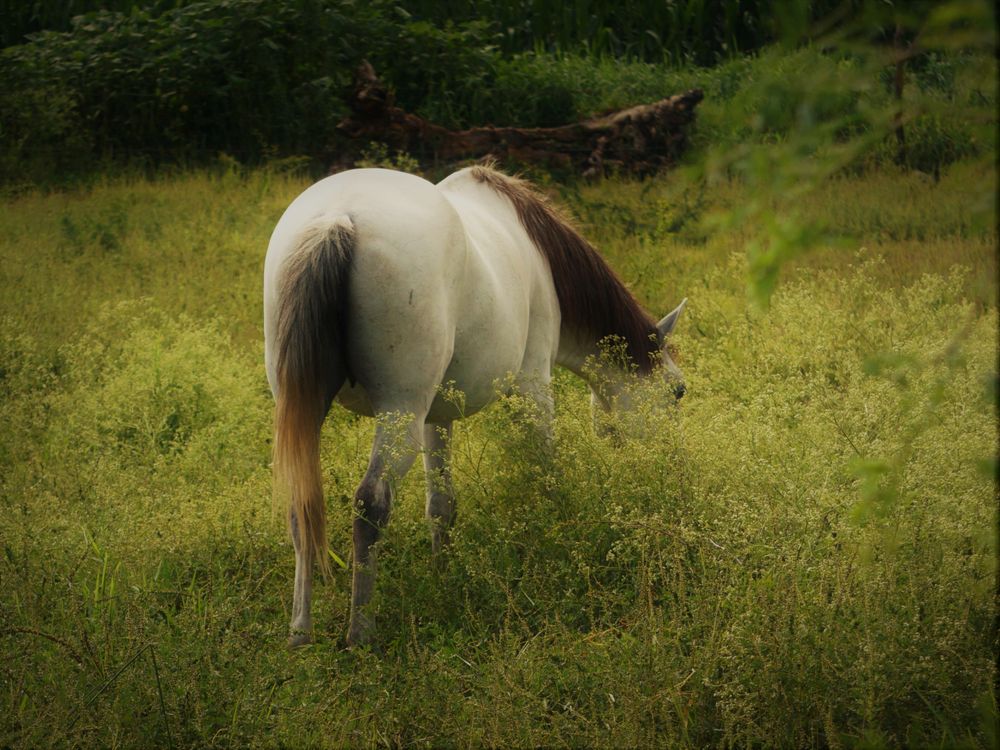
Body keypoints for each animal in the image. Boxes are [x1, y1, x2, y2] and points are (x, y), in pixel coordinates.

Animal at [263, 164, 687, 647]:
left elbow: (441, 504)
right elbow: (547, 476)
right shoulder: (533, 388)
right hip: (400, 412)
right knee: (371, 504)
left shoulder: (438, 417)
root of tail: (338, 218)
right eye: (678, 391)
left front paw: (442, 579)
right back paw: (360, 632)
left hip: (314, 409)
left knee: (301, 503)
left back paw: (300, 632)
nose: (674, 470)